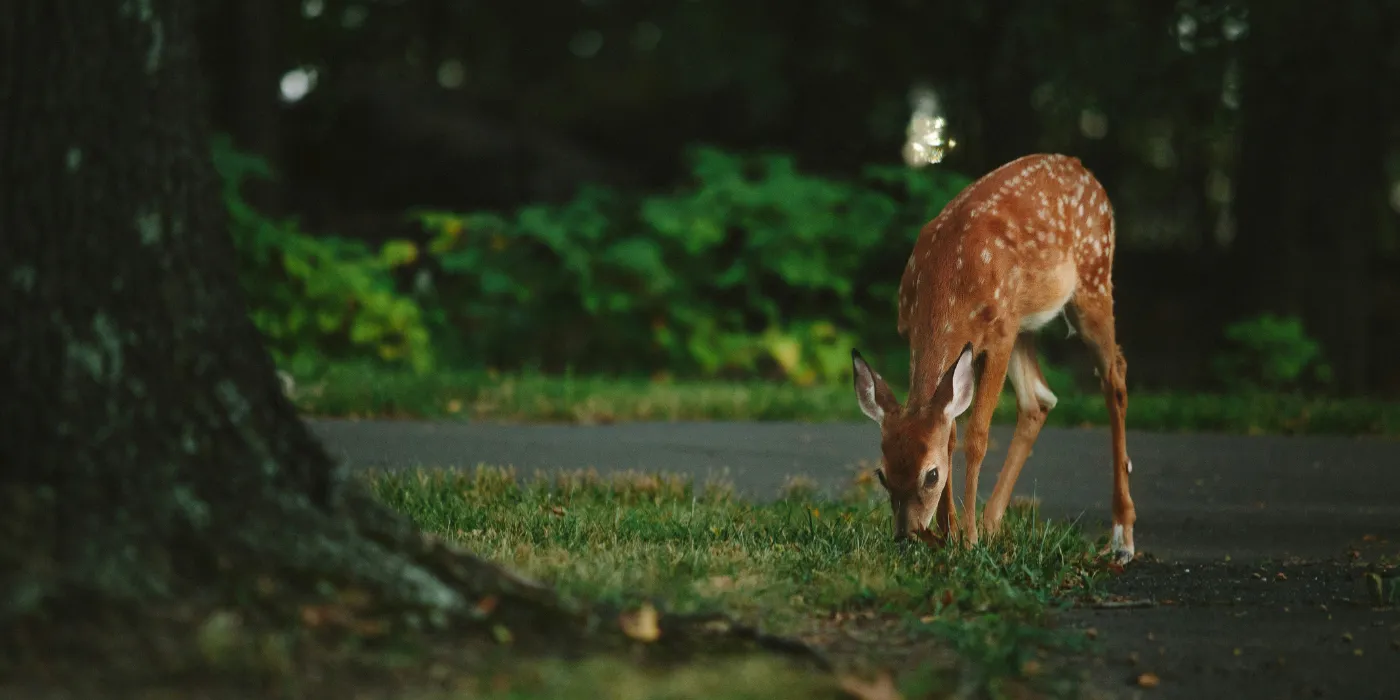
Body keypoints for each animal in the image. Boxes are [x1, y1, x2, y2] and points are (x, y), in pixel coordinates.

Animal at [850, 153, 1137, 565]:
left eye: (931, 475)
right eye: (882, 474)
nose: (906, 535)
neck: (948, 282)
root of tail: (1083, 170)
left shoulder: (999, 335)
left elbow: (976, 436)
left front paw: (966, 539)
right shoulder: (921, 334)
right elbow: (950, 431)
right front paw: (950, 533)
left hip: (1092, 281)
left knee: (1115, 377)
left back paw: (1122, 537)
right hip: (1025, 323)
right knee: (1039, 399)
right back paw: (991, 523)